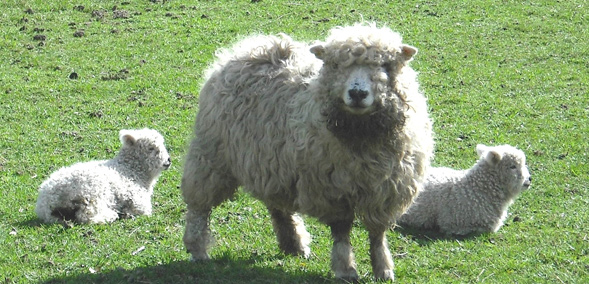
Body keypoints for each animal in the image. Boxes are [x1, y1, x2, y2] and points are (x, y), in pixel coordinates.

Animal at [35, 129, 170, 224]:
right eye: (151, 148)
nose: (168, 161)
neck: (129, 169)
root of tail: (46, 202)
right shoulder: (137, 198)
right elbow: (143, 211)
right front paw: (127, 213)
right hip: (91, 194)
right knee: (85, 216)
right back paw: (110, 216)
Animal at [179, 22, 432, 282]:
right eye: (336, 65)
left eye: (385, 66)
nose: (357, 94)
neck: (361, 137)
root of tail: (249, 48)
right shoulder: (334, 190)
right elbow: (341, 231)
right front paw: (345, 269)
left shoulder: (386, 190)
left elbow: (377, 234)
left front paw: (383, 269)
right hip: (212, 155)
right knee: (199, 206)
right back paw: (197, 248)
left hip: (272, 163)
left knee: (277, 205)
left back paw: (293, 243)